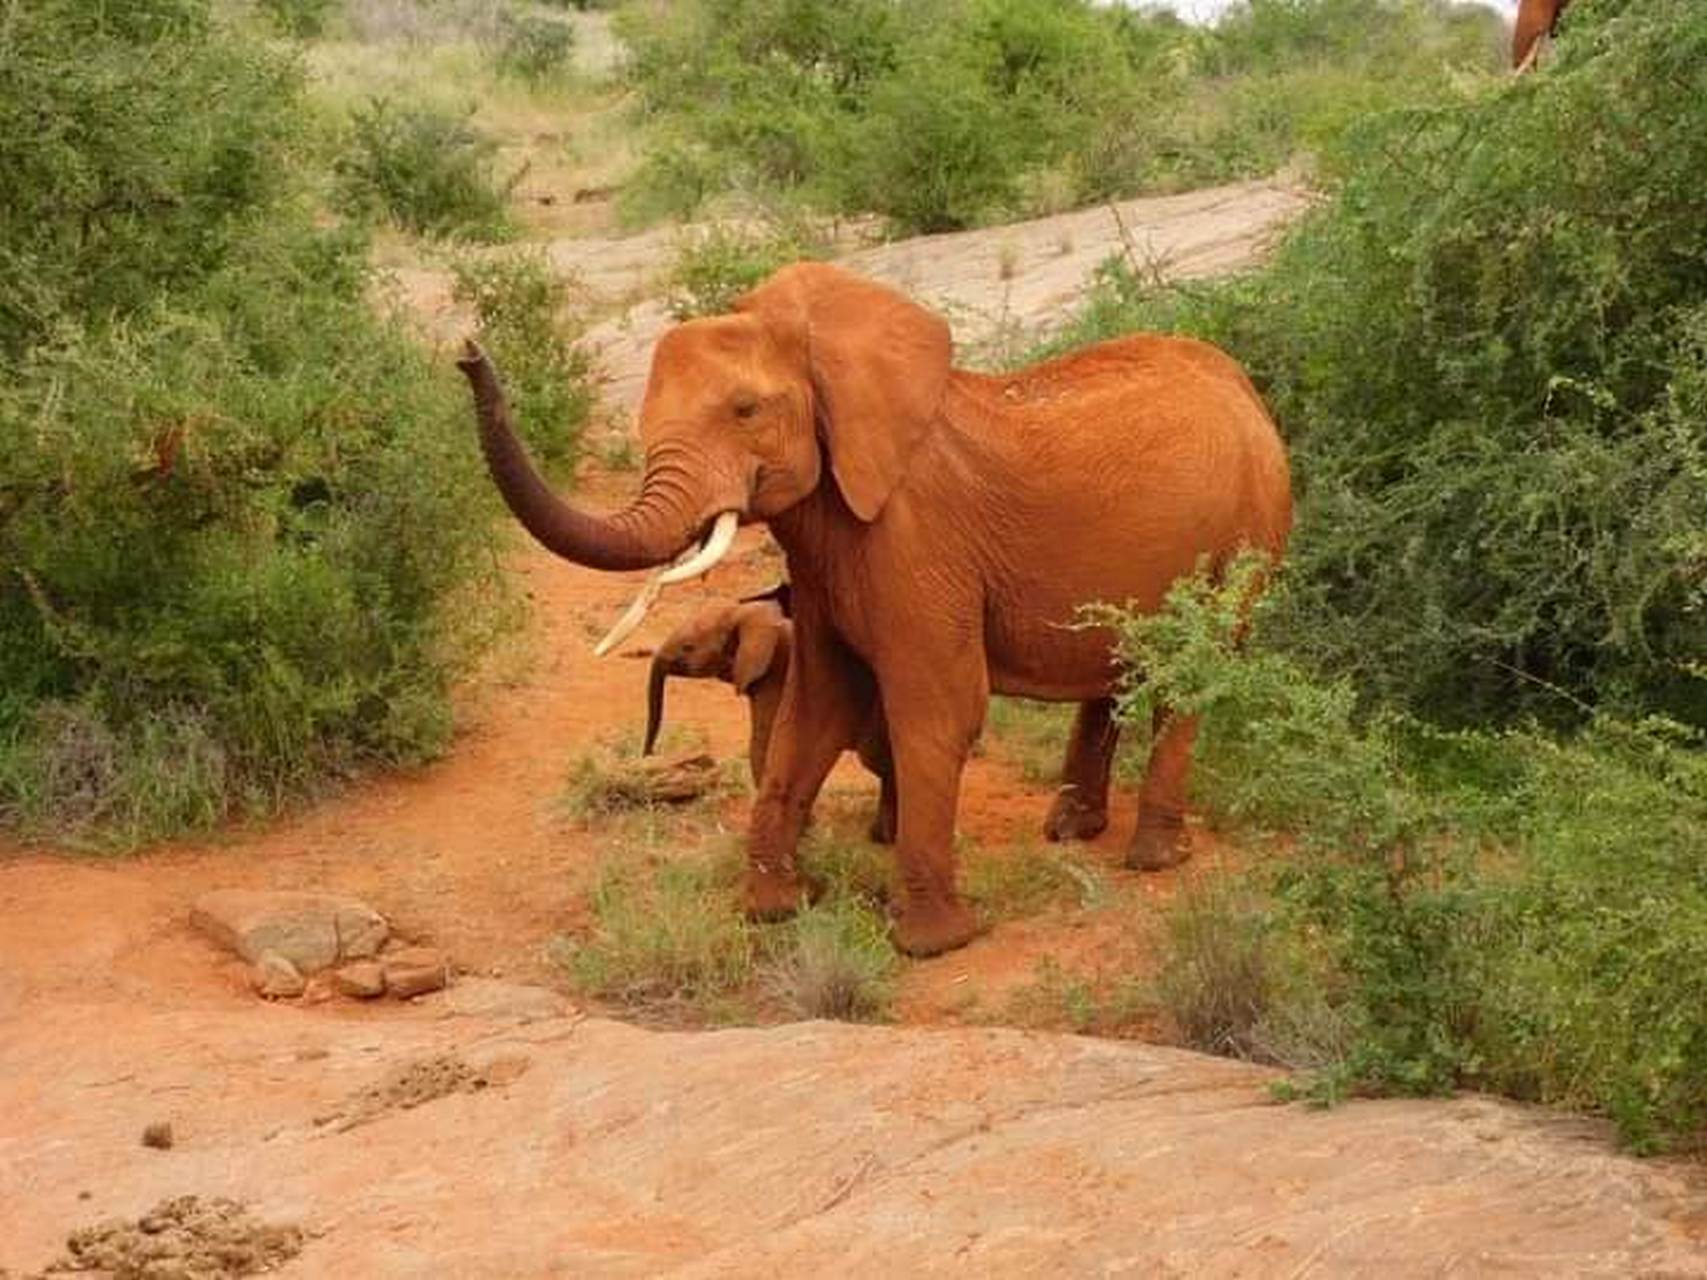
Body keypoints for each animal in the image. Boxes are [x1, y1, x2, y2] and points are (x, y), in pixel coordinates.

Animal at [641, 600, 901, 846]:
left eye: (688, 648)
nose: (649, 756)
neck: (745, 614)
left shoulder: (776, 676)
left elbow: (766, 741)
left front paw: (804, 829)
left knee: (880, 763)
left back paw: (883, 837)